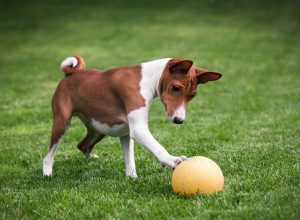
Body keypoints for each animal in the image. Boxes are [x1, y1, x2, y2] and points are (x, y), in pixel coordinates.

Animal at [42, 55, 220, 178]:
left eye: (192, 96)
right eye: (176, 88)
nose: (179, 120)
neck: (147, 80)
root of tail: (70, 75)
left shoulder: (126, 132)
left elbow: (130, 159)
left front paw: (132, 177)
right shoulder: (138, 129)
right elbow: (158, 148)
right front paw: (173, 160)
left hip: (100, 128)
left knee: (83, 145)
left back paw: (91, 158)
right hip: (62, 123)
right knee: (48, 156)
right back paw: (47, 173)